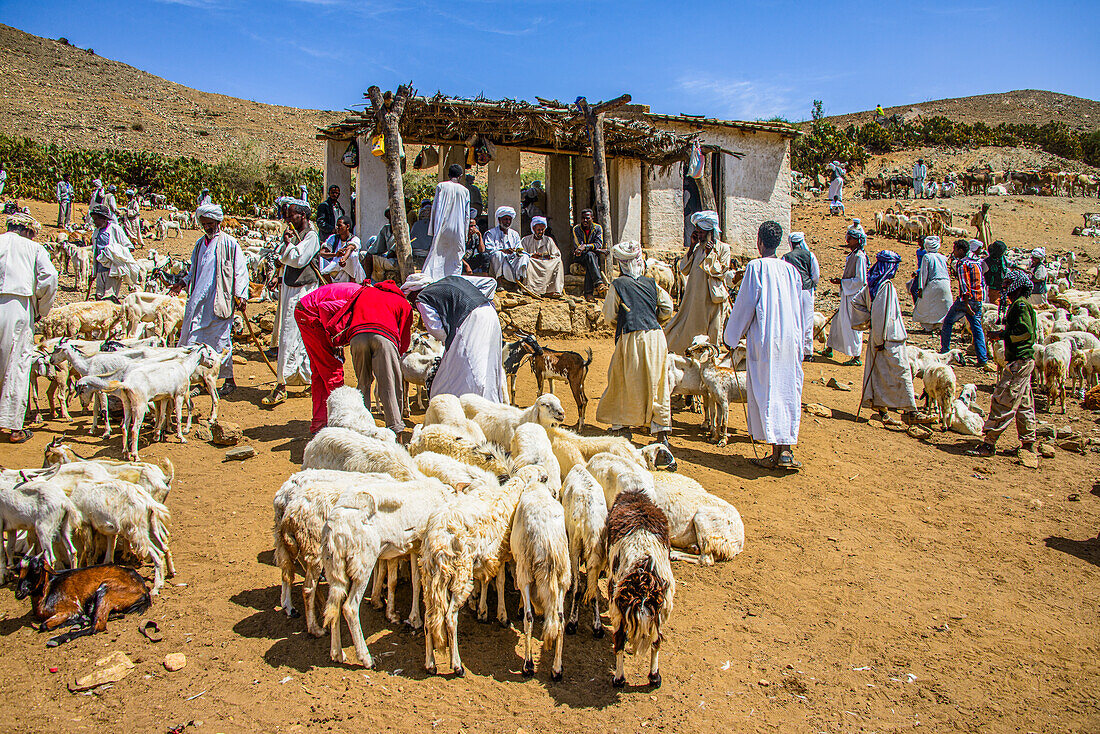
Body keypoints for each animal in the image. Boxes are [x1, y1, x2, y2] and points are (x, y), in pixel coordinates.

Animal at [15, 554, 151, 647]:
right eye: (18, 570)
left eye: (36, 569)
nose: (19, 593)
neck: (49, 589)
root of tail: (142, 587)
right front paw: (81, 620)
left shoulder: (72, 609)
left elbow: (43, 625)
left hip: (105, 590)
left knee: (97, 626)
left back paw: (57, 639)